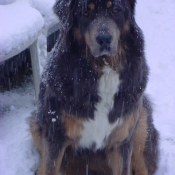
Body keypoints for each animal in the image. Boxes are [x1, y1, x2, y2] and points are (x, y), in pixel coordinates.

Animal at [30, 0, 160, 174]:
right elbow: (49, 167)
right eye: (85, 12)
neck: (103, 67)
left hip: (141, 128)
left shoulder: (122, 139)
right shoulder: (55, 136)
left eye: (116, 10)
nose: (104, 39)